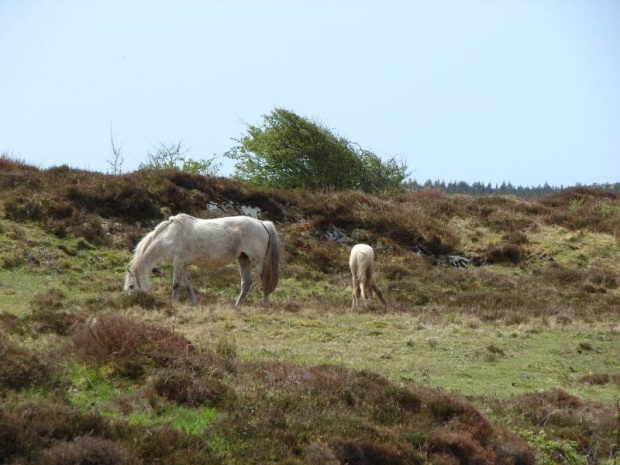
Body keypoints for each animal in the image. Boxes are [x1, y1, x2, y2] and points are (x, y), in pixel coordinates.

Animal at [123, 213, 280, 306]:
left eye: (131, 286)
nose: (131, 302)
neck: (169, 236)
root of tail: (262, 223)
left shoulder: (178, 262)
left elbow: (176, 284)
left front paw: (172, 302)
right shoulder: (184, 264)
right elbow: (188, 284)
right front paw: (193, 303)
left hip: (258, 261)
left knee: (265, 281)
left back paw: (264, 304)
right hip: (243, 259)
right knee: (246, 282)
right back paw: (238, 305)